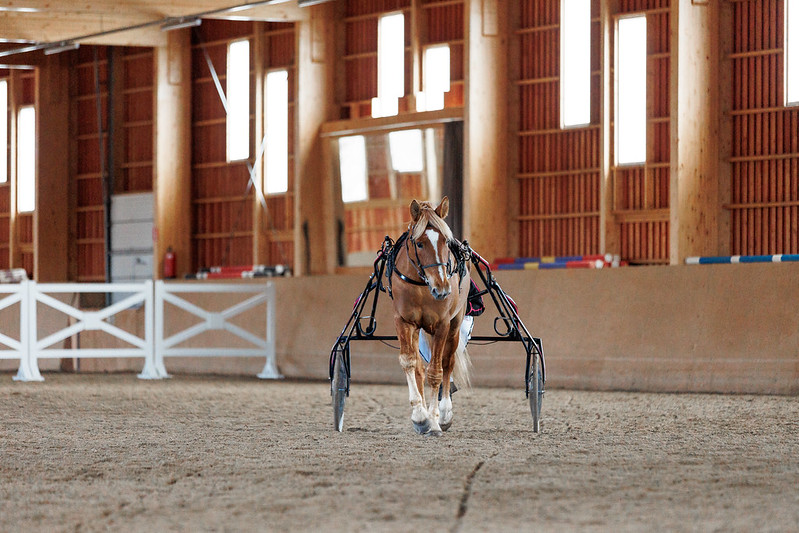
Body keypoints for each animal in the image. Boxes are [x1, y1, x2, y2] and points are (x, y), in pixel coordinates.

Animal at [390, 197, 472, 434]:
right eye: (419, 243)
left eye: (446, 241)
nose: (442, 288)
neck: (421, 286)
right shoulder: (403, 321)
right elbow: (409, 362)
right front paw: (420, 416)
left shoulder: (442, 325)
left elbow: (436, 371)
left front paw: (435, 420)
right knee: (419, 366)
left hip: (455, 325)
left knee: (448, 363)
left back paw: (444, 413)